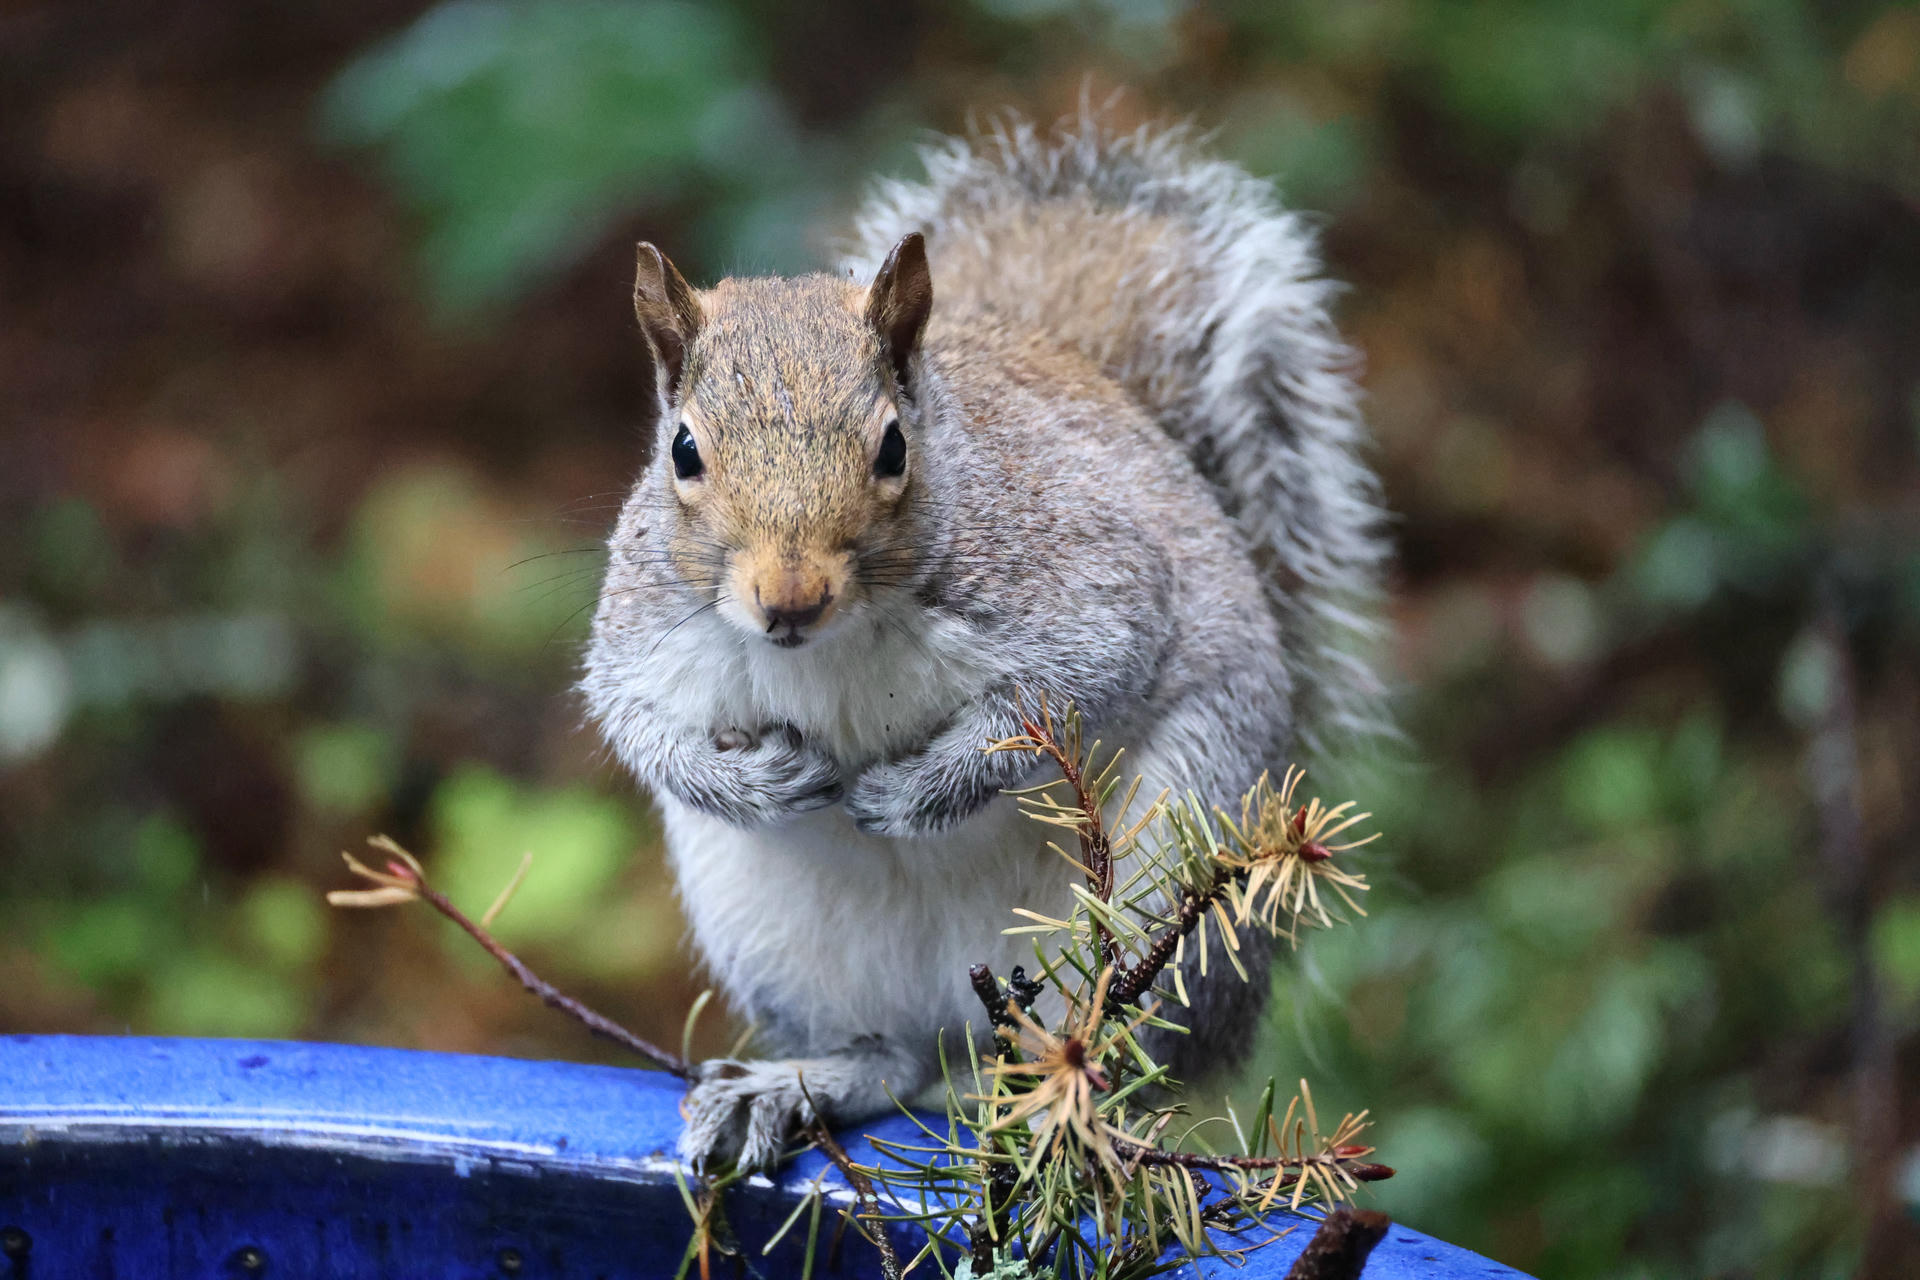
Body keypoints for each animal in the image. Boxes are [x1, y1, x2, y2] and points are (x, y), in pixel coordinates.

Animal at [582, 111, 1386, 1171]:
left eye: (892, 447)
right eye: (683, 450)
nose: (789, 599)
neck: (836, 644)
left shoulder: (1092, 589)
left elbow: (1066, 694)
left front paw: (914, 793)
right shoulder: (642, 629)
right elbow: (636, 727)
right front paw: (756, 783)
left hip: (1171, 871)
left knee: (1130, 1042)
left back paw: (1064, 1108)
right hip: (773, 936)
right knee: (889, 1060)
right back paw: (798, 1085)